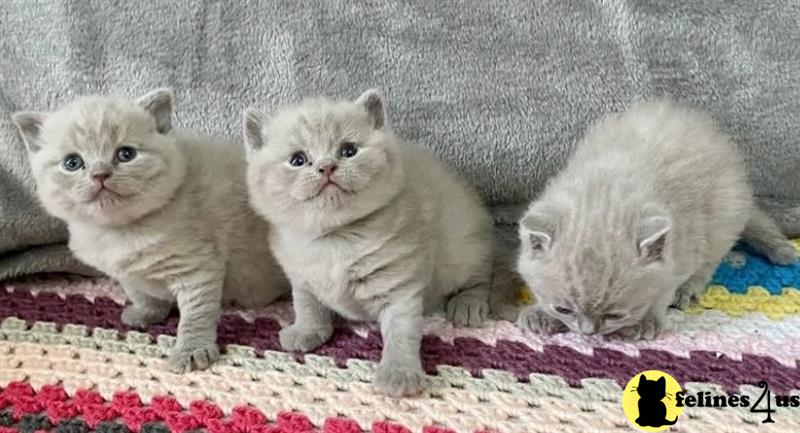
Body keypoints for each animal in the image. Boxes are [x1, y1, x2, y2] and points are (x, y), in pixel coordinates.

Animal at [11, 88, 290, 372]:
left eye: (125, 154)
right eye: (72, 162)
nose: (100, 174)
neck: (120, 232)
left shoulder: (197, 269)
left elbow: (196, 315)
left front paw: (192, 351)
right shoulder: (126, 273)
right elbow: (141, 292)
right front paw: (146, 313)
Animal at [244, 89, 494, 396]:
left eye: (349, 150)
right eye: (298, 160)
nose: (326, 167)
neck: (333, 241)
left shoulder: (399, 284)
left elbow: (401, 332)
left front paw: (399, 373)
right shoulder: (300, 277)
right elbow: (307, 304)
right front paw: (307, 330)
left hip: (461, 245)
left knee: (482, 273)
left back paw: (467, 305)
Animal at [516, 99, 796, 340]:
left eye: (615, 315)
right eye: (563, 309)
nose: (588, 332)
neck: (606, 188)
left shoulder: (684, 249)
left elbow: (665, 286)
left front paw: (645, 320)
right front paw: (541, 314)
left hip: (724, 215)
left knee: (709, 262)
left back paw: (688, 289)